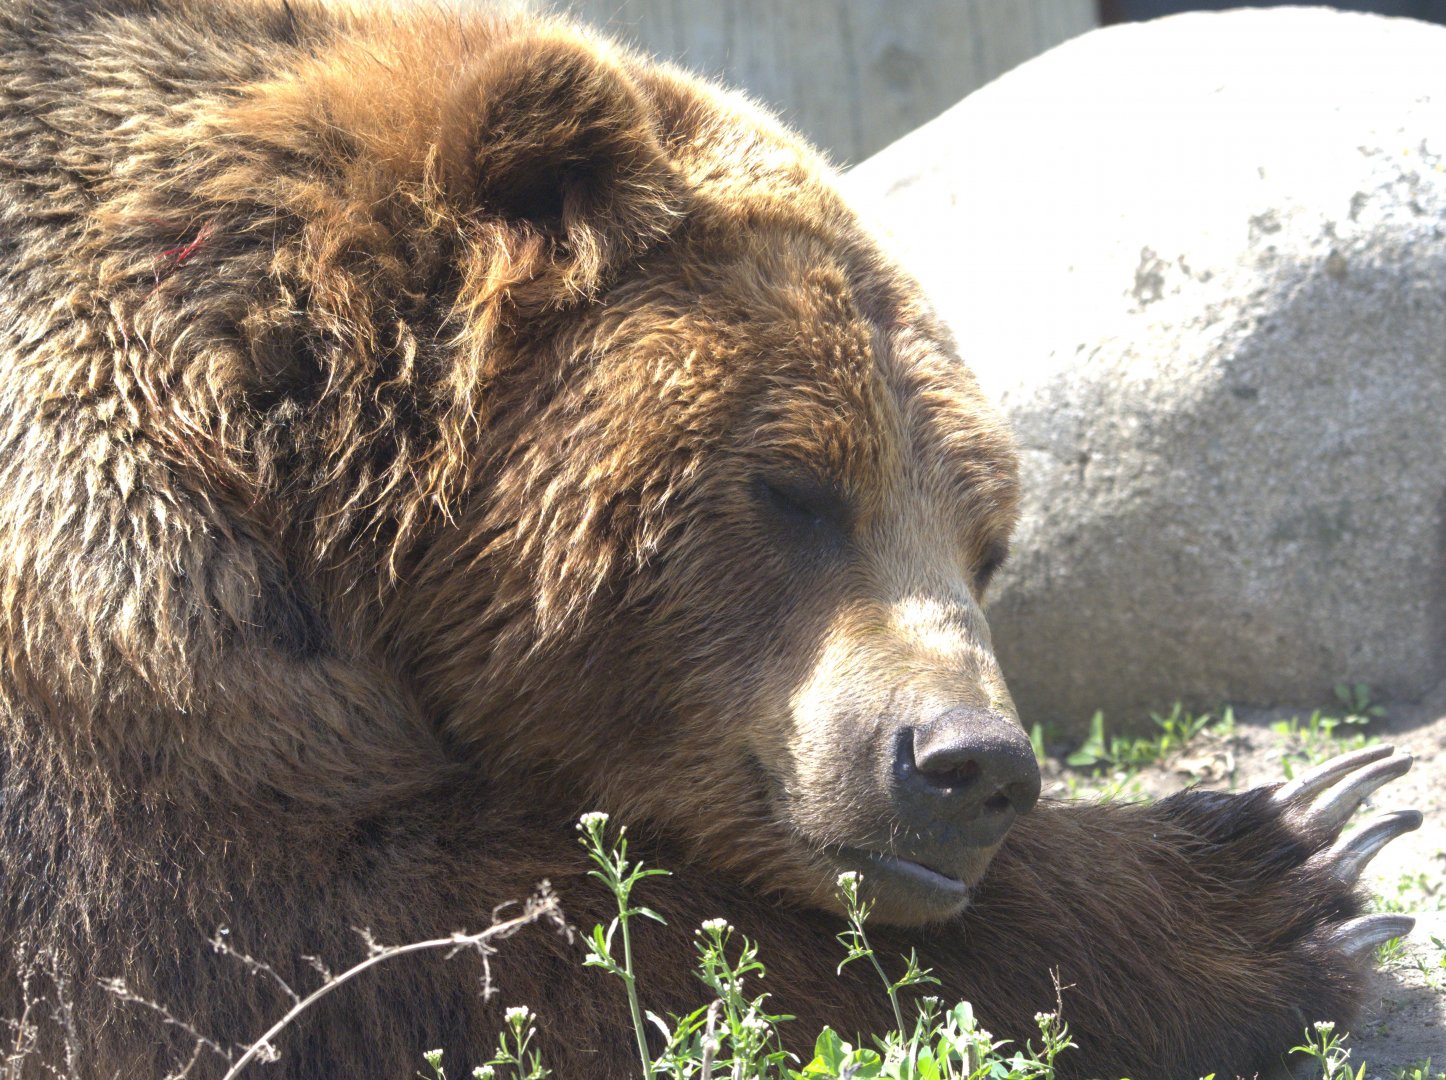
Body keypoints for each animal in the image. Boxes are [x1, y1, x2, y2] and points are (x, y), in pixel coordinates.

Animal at [0, 1, 1421, 1077]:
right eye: (795, 487)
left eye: (989, 541)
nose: (974, 767)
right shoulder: (118, 648)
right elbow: (325, 952)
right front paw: (1285, 868)